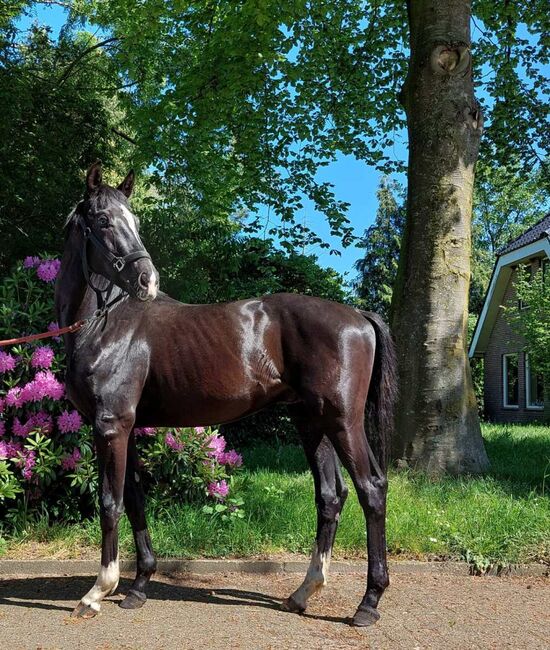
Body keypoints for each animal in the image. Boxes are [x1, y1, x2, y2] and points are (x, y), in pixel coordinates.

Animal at [55, 163, 396, 628]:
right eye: (104, 220)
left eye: (134, 221)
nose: (148, 280)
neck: (106, 325)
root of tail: (358, 316)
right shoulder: (125, 429)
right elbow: (135, 500)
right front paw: (138, 587)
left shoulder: (110, 426)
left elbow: (110, 503)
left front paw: (96, 593)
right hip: (312, 422)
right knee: (330, 496)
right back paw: (302, 593)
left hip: (343, 421)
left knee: (371, 489)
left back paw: (369, 602)